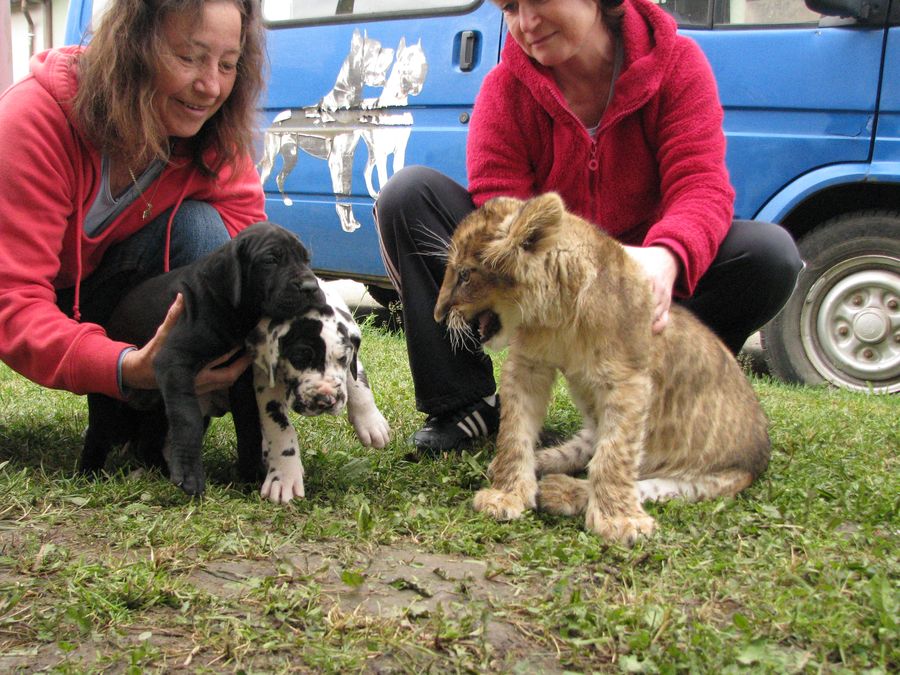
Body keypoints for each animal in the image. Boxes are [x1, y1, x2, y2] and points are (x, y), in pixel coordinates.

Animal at [79, 222, 326, 496]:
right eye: (271, 260)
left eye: (306, 259)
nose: (311, 286)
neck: (233, 310)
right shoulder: (174, 361)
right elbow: (189, 420)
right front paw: (190, 475)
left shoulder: (241, 381)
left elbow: (249, 426)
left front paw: (250, 476)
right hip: (108, 398)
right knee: (99, 432)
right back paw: (89, 473)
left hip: (156, 409)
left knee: (148, 443)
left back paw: (160, 469)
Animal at [247, 280, 391, 503]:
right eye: (298, 358)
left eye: (342, 359)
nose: (326, 399)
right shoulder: (265, 379)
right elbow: (280, 428)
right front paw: (285, 476)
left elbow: (357, 380)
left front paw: (371, 422)